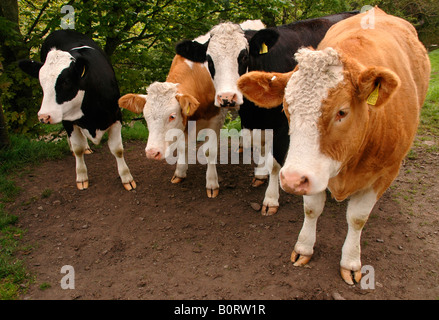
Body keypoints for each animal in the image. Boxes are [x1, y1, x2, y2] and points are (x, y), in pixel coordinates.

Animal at [18, 29, 136, 190]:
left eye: (66, 81)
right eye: (42, 83)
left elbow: (117, 149)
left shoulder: (116, 116)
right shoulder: (68, 120)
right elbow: (77, 148)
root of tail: (61, 30)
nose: (44, 116)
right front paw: (81, 177)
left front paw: (126, 178)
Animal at [119, 54, 227, 198]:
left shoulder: (216, 119)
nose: (152, 153)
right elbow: (182, 146)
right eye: (145, 116)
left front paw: (211, 183)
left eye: (172, 116)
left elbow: (210, 151)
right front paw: (180, 172)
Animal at [177, 11, 360, 215]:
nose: (227, 98)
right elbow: (260, 145)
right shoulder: (253, 122)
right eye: (209, 60)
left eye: (244, 56)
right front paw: (260, 174)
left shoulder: (283, 125)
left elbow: (275, 162)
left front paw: (271, 199)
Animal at [239, 7, 432, 284]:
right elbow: (311, 209)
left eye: (342, 112)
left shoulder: (386, 171)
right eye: (286, 109)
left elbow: (358, 218)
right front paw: (304, 248)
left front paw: (350, 261)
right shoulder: (313, 171)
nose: (292, 179)